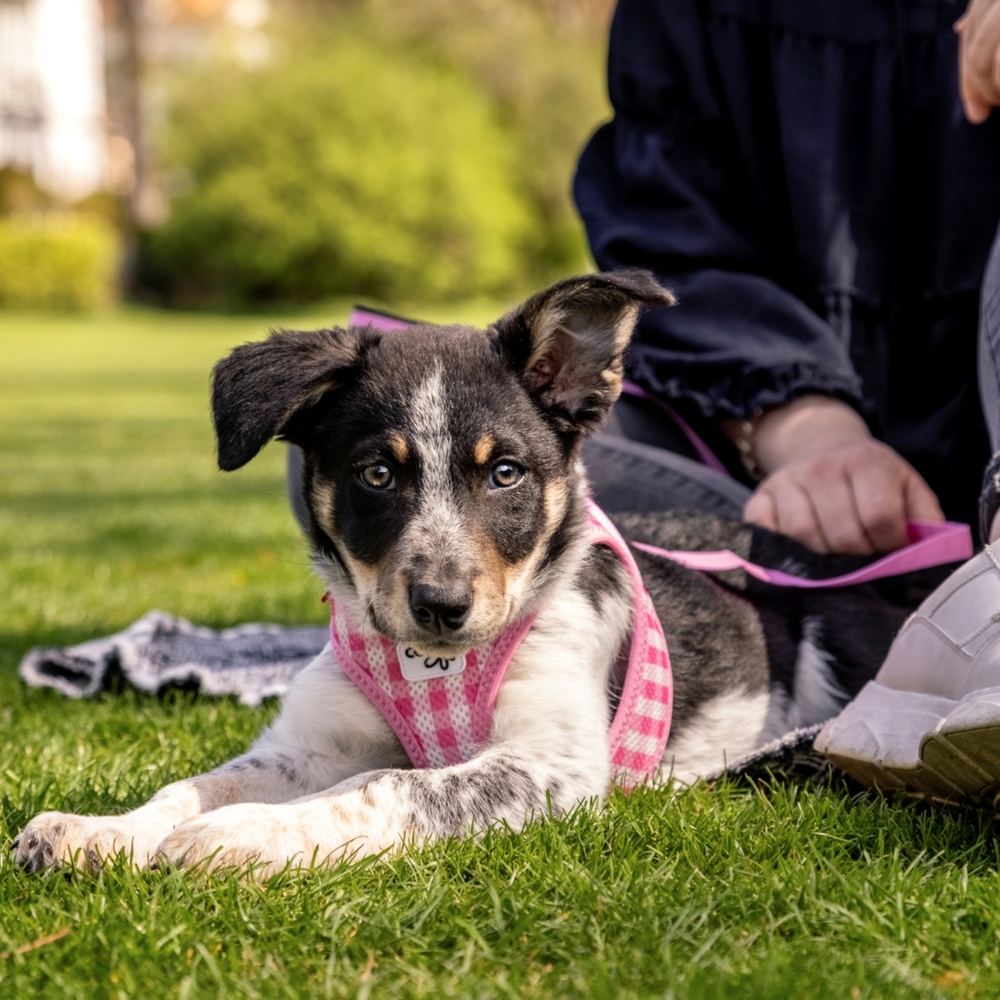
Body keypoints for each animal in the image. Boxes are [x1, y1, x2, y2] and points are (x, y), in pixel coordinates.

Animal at [13, 270, 920, 872]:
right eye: (378, 474)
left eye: (506, 474)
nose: (440, 605)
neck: (434, 668)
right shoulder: (308, 743)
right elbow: (196, 785)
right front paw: (102, 829)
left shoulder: (555, 765)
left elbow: (389, 783)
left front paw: (246, 836)